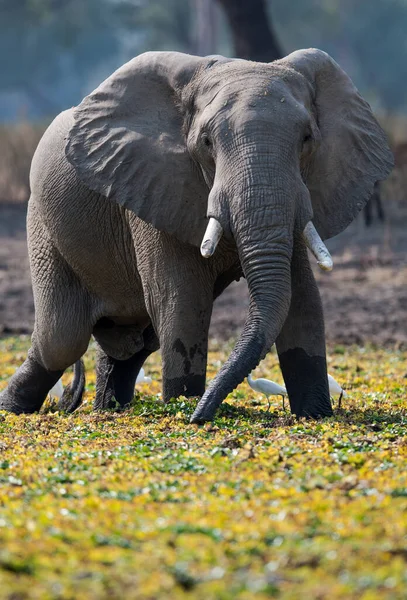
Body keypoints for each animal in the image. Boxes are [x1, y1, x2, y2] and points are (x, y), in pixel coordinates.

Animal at [0, 49, 396, 422]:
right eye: (206, 142)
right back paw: (16, 408)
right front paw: (183, 406)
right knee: (61, 340)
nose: (199, 417)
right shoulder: (152, 184)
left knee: (134, 342)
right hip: (42, 224)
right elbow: (182, 299)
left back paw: (108, 409)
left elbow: (303, 297)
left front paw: (314, 414)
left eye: (307, 139)